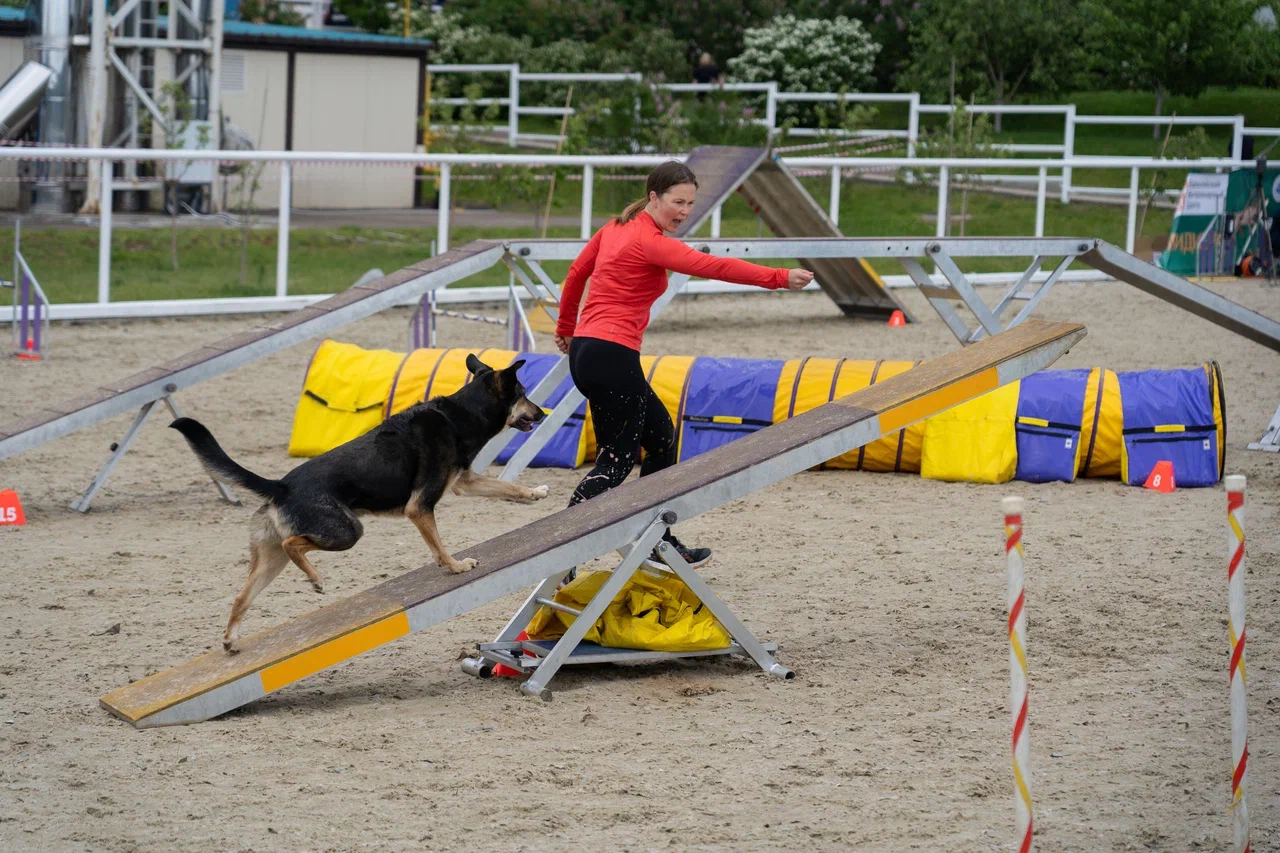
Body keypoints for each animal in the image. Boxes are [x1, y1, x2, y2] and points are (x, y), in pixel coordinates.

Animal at [171, 353, 550, 650]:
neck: (461, 414)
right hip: (347, 531)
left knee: (241, 596)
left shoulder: (464, 483)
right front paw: (456, 566)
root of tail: (282, 486)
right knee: (295, 545)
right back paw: (316, 579)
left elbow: (507, 487)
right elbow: (440, 548)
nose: (544, 413)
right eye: (524, 395)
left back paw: (231, 640)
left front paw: (535, 493)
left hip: (271, 558)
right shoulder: (420, 506)